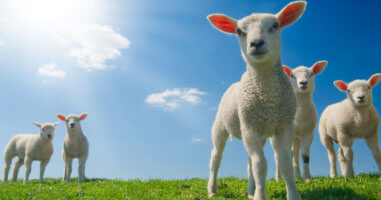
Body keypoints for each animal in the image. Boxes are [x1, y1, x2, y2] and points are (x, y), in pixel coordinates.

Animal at [206, 0, 304, 199]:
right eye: (239, 31)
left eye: (275, 25)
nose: (256, 43)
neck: (269, 98)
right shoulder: (250, 127)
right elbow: (260, 165)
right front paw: (260, 196)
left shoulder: (285, 125)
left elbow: (285, 163)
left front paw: (293, 195)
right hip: (221, 126)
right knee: (216, 157)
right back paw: (212, 189)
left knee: (249, 161)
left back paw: (250, 191)